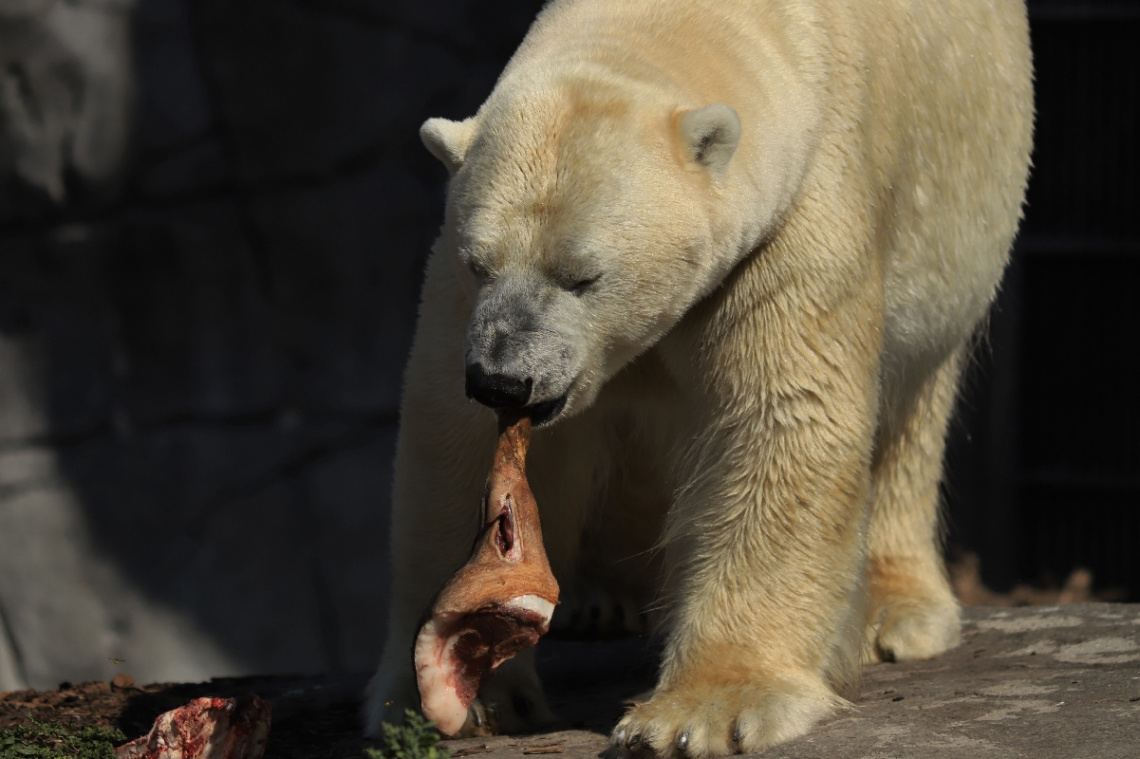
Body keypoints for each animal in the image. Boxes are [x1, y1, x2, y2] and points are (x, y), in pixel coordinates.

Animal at [364, 0, 1035, 747]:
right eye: (478, 261)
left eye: (583, 275)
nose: (502, 381)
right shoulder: (458, 297)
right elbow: (456, 442)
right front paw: (454, 691)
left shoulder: (798, 213)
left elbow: (780, 411)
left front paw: (709, 711)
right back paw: (605, 599)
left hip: (954, 227)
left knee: (910, 405)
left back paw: (894, 613)